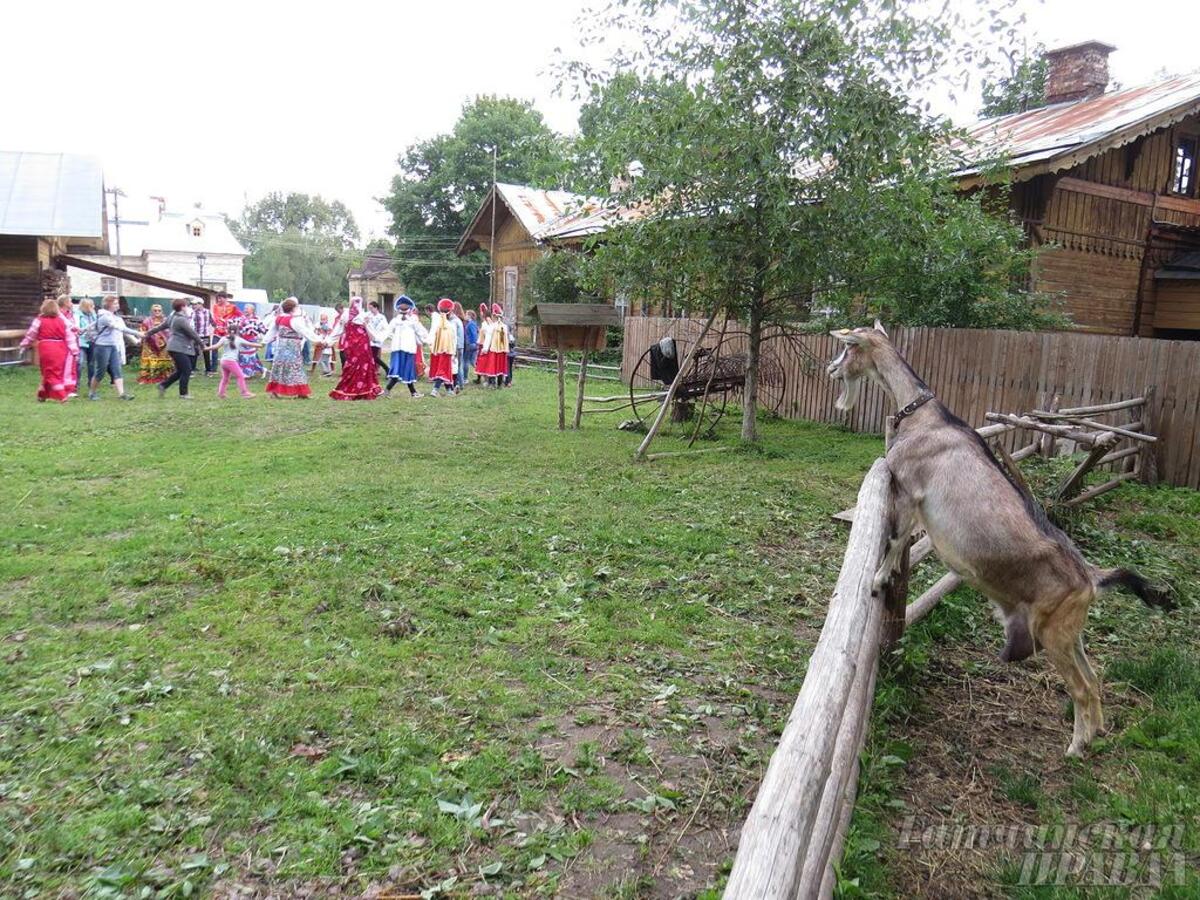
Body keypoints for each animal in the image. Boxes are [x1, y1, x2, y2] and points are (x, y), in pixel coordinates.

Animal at [825, 321, 1171, 758]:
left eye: (848, 348)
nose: (829, 369)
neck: (925, 418)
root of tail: (1092, 578)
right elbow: (902, 540)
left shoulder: (909, 491)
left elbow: (897, 539)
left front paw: (877, 579)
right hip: (1071, 632)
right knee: (1093, 682)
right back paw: (1094, 735)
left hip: (1054, 633)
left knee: (1079, 687)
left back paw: (1075, 747)